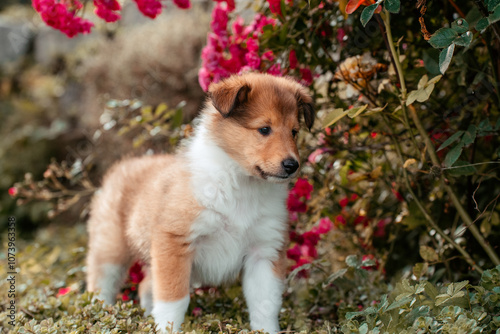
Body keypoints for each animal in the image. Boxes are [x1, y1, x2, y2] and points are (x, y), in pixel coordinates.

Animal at [85, 72, 312, 332]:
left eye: (294, 131)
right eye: (264, 129)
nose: (292, 165)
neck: (241, 183)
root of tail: (123, 165)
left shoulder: (264, 251)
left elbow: (265, 303)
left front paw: (266, 330)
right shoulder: (174, 243)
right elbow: (173, 300)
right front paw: (168, 329)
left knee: (144, 285)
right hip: (110, 248)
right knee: (100, 284)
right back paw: (101, 314)